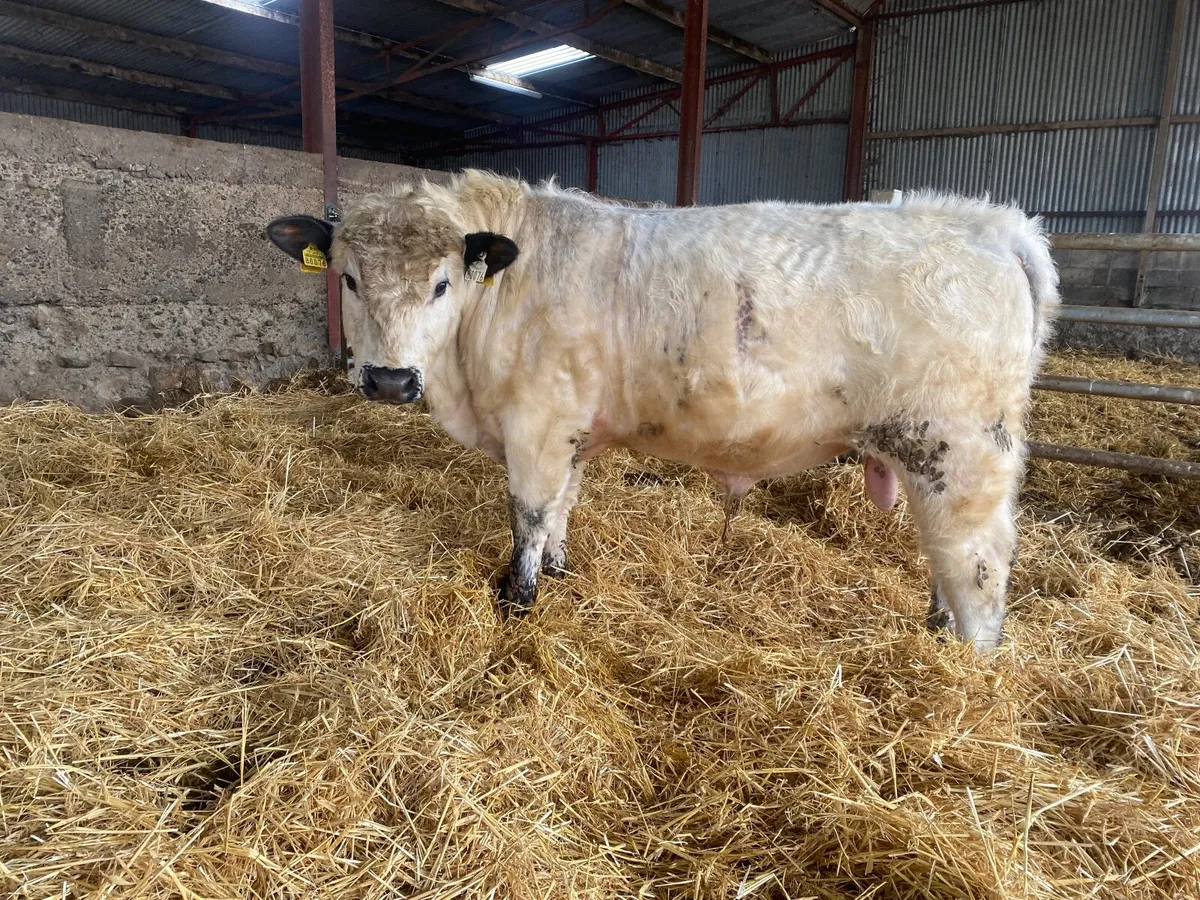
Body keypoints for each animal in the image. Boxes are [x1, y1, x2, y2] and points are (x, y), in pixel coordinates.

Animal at [267, 170, 1059, 651]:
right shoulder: (571, 430)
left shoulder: (535, 424)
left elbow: (528, 515)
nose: (389, 380)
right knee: (945, 556)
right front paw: (559, 574)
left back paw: (967, 663)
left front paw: (517, 601)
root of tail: (985, 223)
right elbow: (563, 508)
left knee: (979, 565)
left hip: (964, 449)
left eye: (441, 283)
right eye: (348, 278)